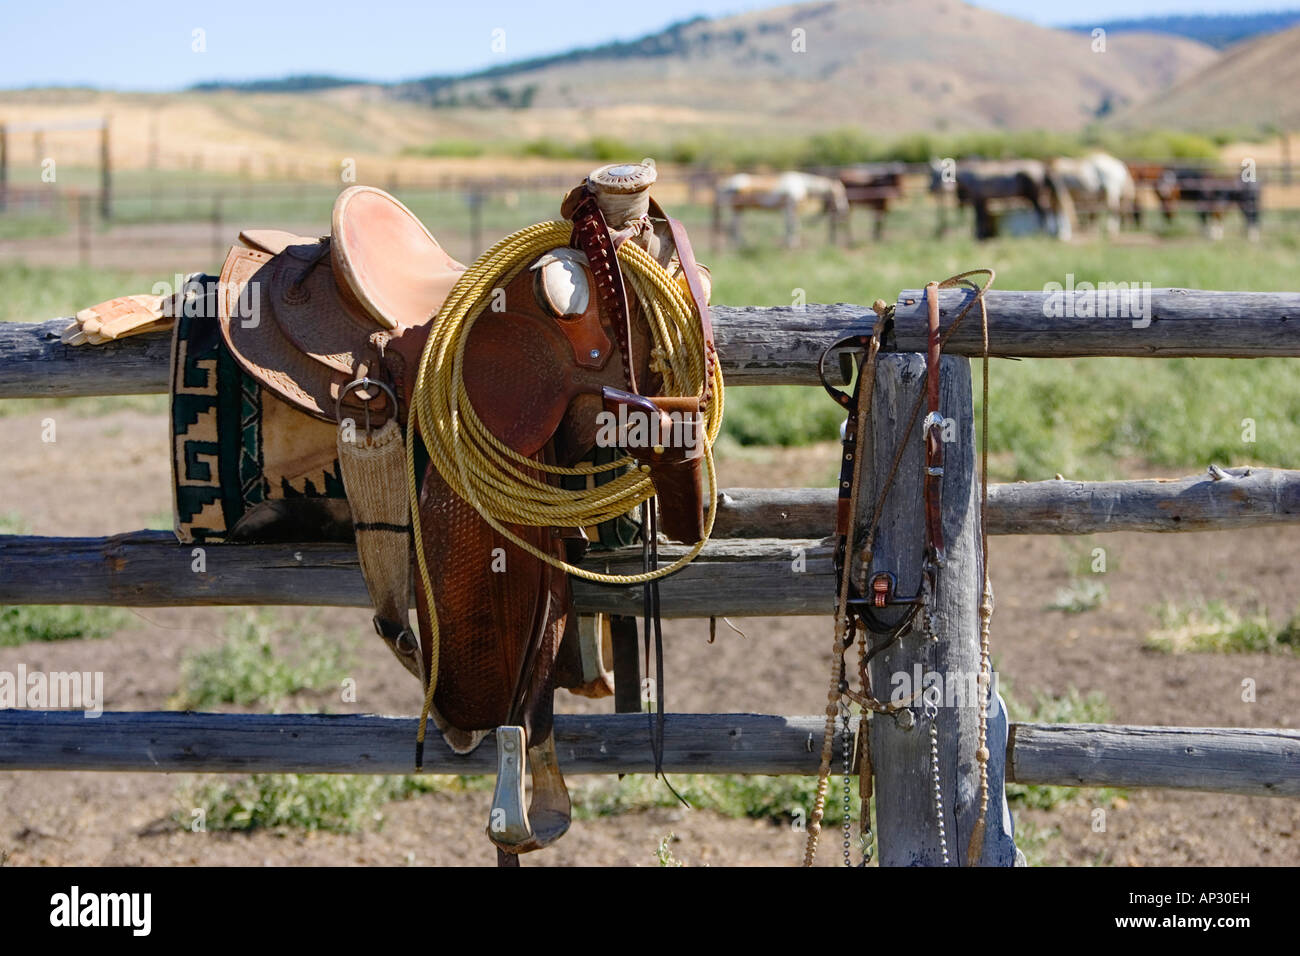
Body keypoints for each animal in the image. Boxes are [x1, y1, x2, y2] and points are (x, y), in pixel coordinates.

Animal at [712, 171, 852, 248]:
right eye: (839, 194)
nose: (844, 210)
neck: (800, 183)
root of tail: (727, 184)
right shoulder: (789, 207)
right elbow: (791, 225)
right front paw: (791, 243)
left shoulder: (790, 209)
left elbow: (792, 226)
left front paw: (792, 242)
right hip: (736, 209)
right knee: (734, 227)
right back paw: (739, 245)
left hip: (739, 209)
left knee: (734, 227)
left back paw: (741, 244)